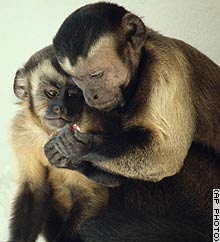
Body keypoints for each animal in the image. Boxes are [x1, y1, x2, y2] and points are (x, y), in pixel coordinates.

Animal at [8, 45, 108, 242]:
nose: (61, 108)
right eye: (52, 93)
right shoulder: (22, 134)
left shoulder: (90, 132)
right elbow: (35, 190)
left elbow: (91, 196)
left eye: (73, 94)